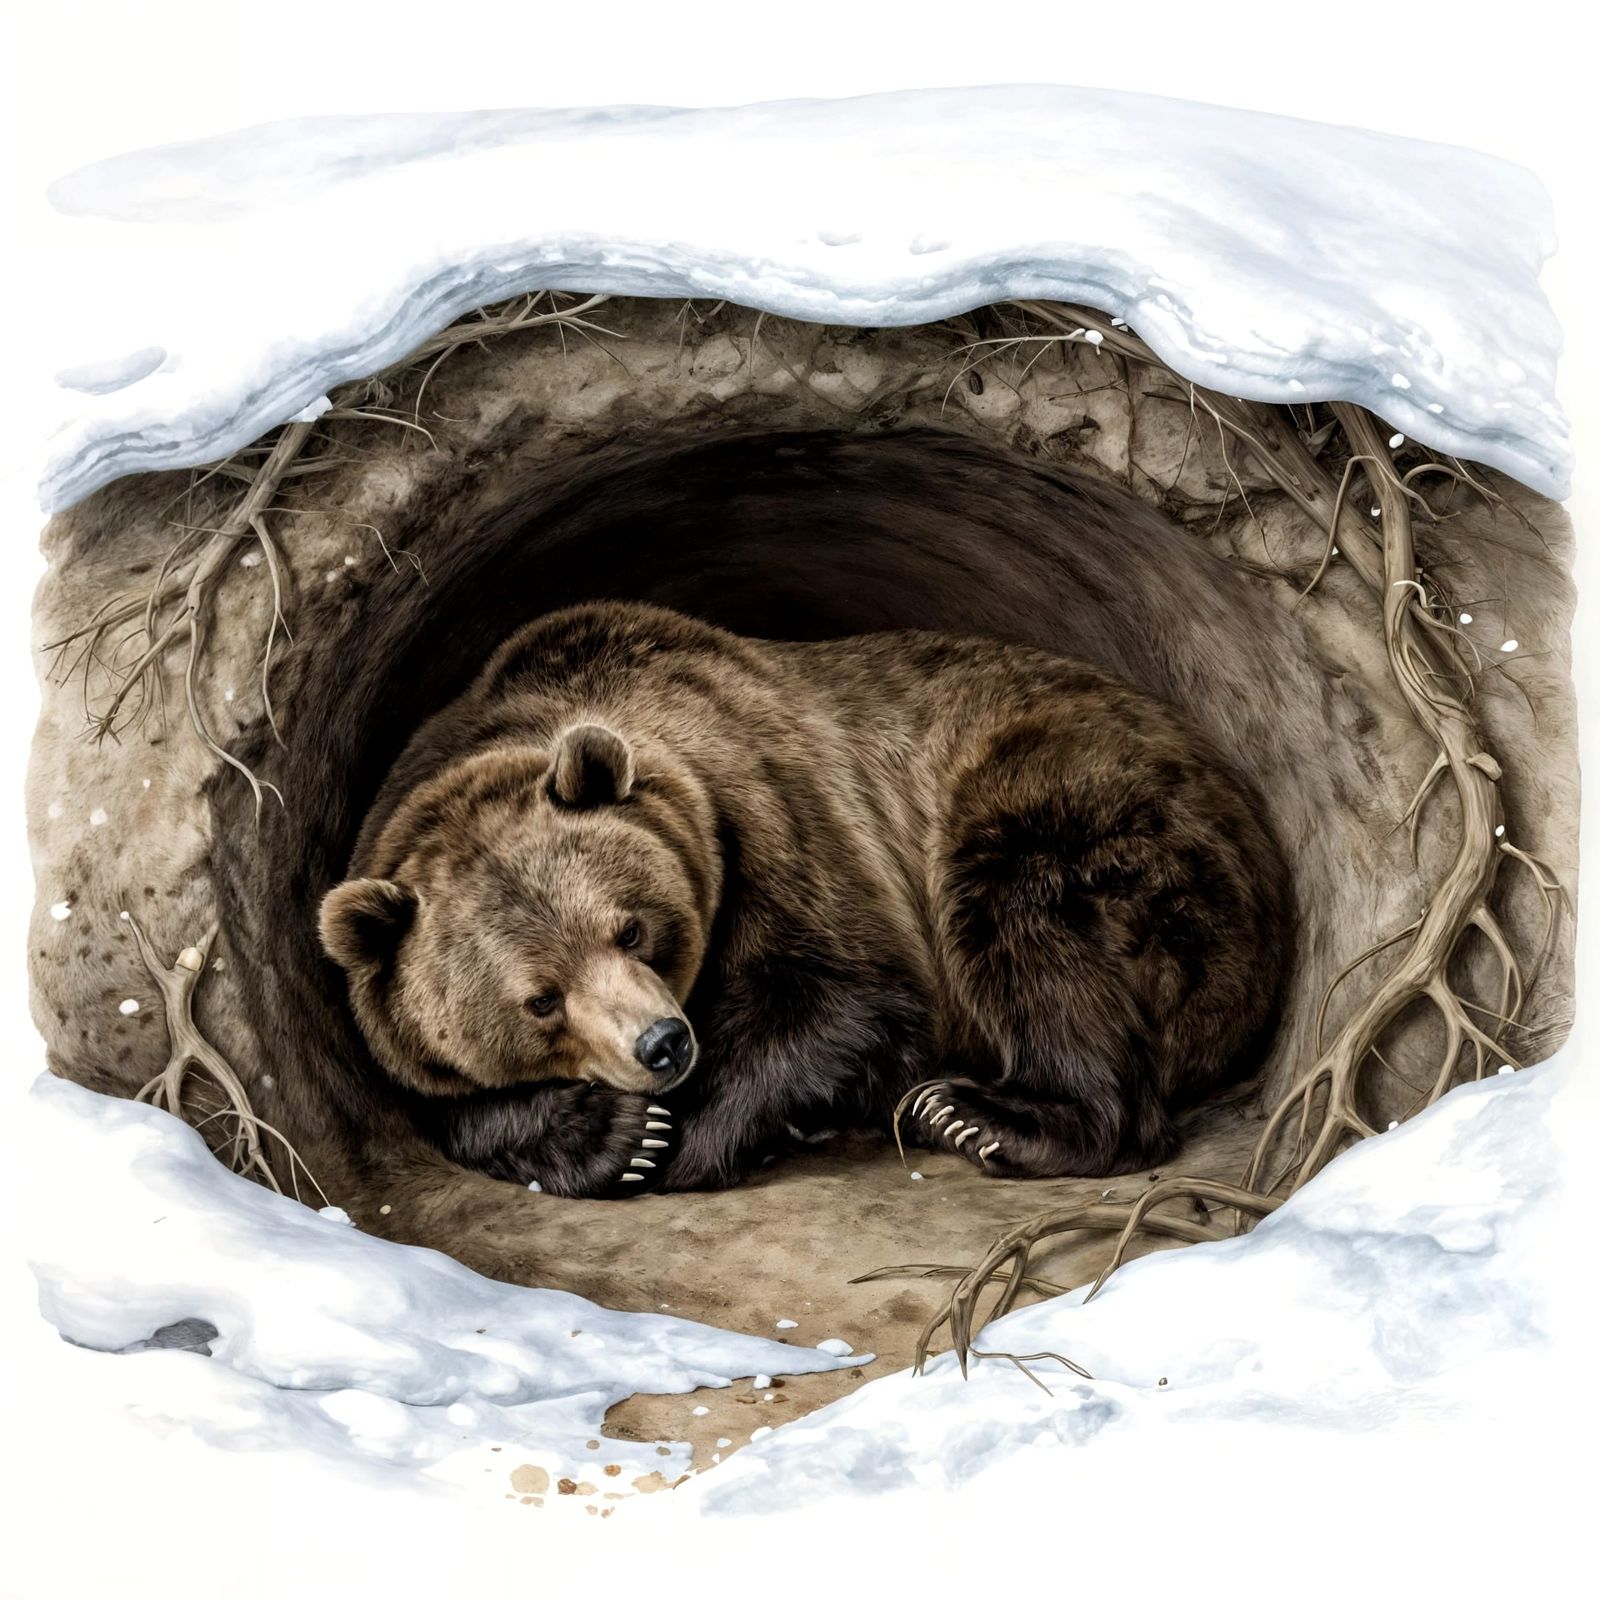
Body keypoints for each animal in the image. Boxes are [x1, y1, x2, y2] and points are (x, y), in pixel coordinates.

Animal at [319, 600, 1293, 1198]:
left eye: (630, 929)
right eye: (539, 1000)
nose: (663, 1045)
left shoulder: (773, 807)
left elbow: (844, 994)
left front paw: (679, 1141)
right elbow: (449, 1103)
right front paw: (615, 1135)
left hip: (1096, 811)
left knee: (1028, 917)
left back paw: (981, 1114)